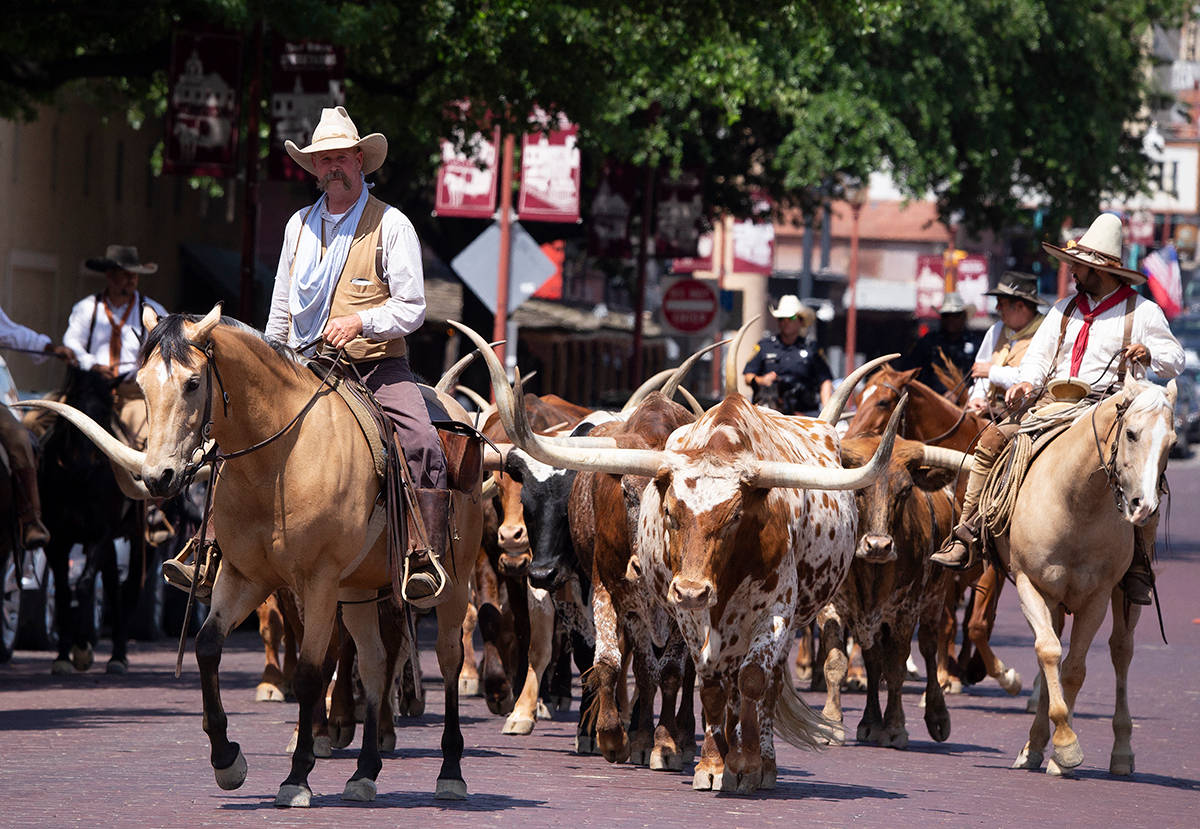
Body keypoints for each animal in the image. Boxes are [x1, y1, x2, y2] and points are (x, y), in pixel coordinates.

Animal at [17, 307, 477, 806]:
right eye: (141, 384)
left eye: (193, 383)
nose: (159, 477)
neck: (278, 462)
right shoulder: (244, 577)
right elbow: (206, 646)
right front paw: (226, 759)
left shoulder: (318, 582)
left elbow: (311, 671)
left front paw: (297, 776)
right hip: (358, 588)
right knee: (374, 662)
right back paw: (364, 772)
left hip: (452, 582)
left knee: (447, 657)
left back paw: (450, 771)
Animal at [840, 367, 1017, 695]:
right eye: (859, 396)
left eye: (883, 402)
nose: (848, 438)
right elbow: (948, 622)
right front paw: (948, 676)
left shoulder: (991, 568)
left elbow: (976, 624)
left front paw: (1003, 674)